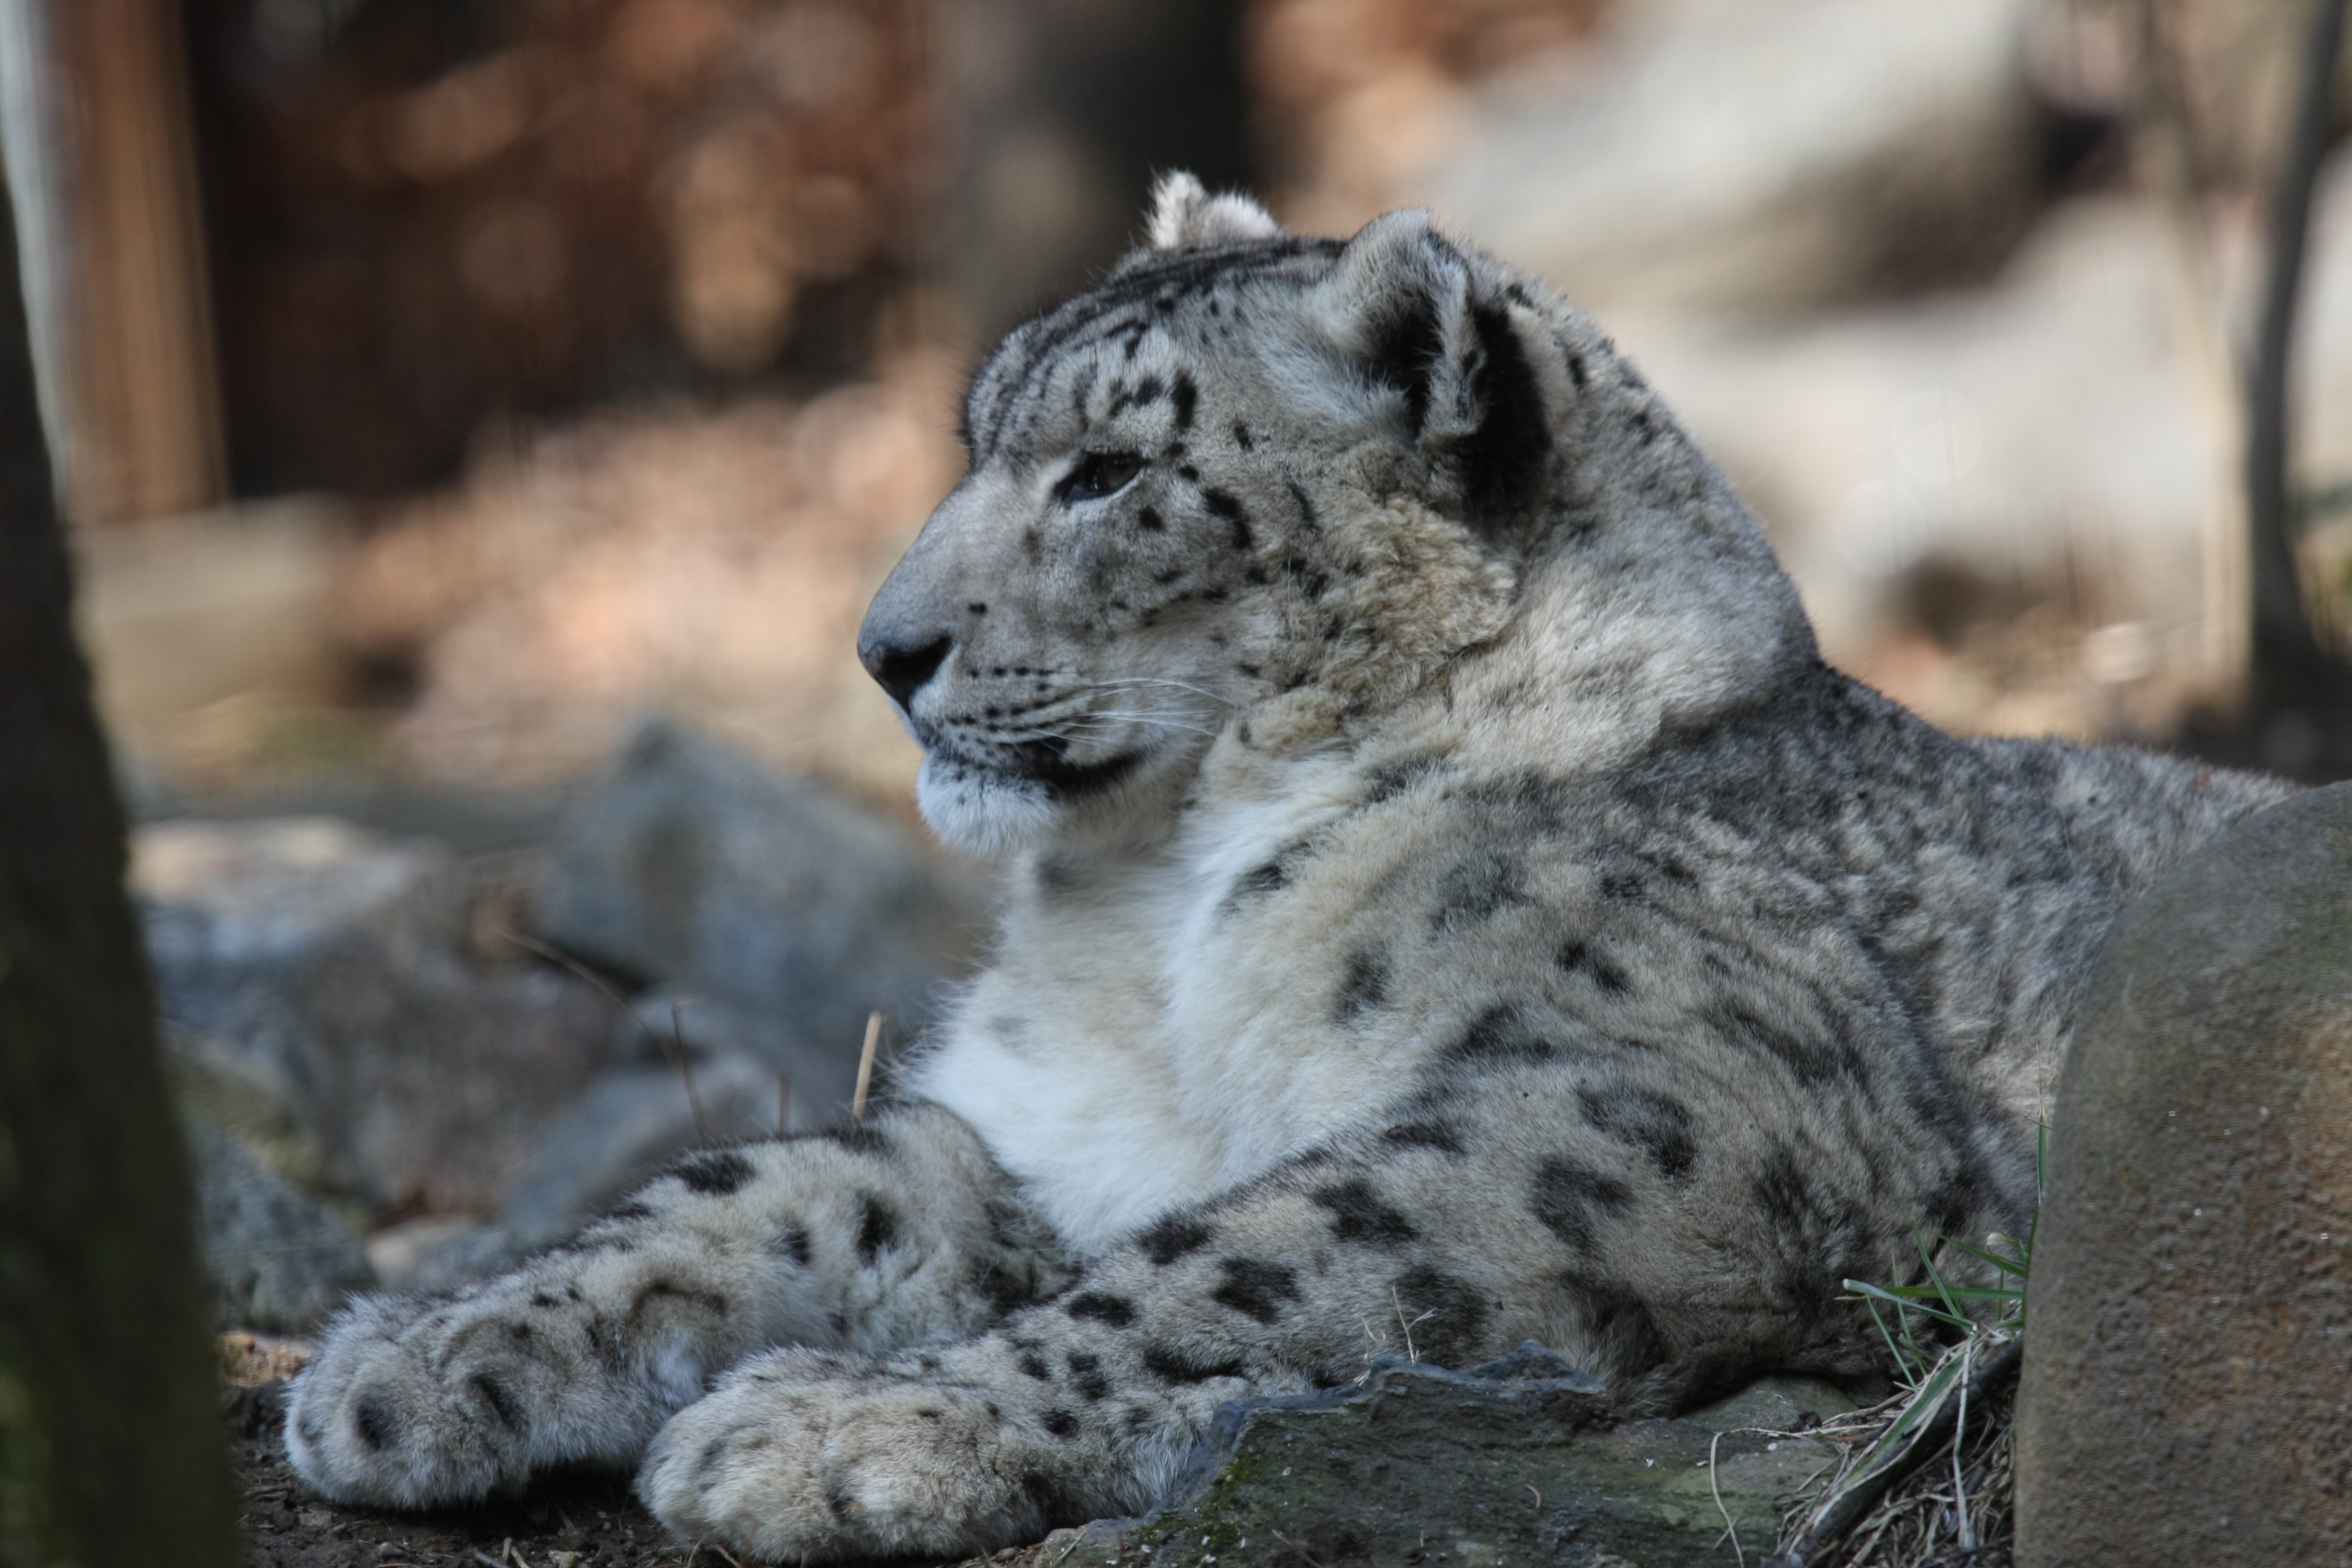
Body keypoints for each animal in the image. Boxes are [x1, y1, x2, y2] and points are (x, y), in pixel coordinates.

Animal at [279, 175, 2295, 1561]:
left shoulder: (1654, 1106)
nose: (881, 649)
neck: (1150, 919)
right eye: (979, 438)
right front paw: (417, 1352)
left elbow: (1243, 1258)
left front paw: (839, 1428)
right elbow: (758, 1187)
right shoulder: (1052, 1130)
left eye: (1107, 473)